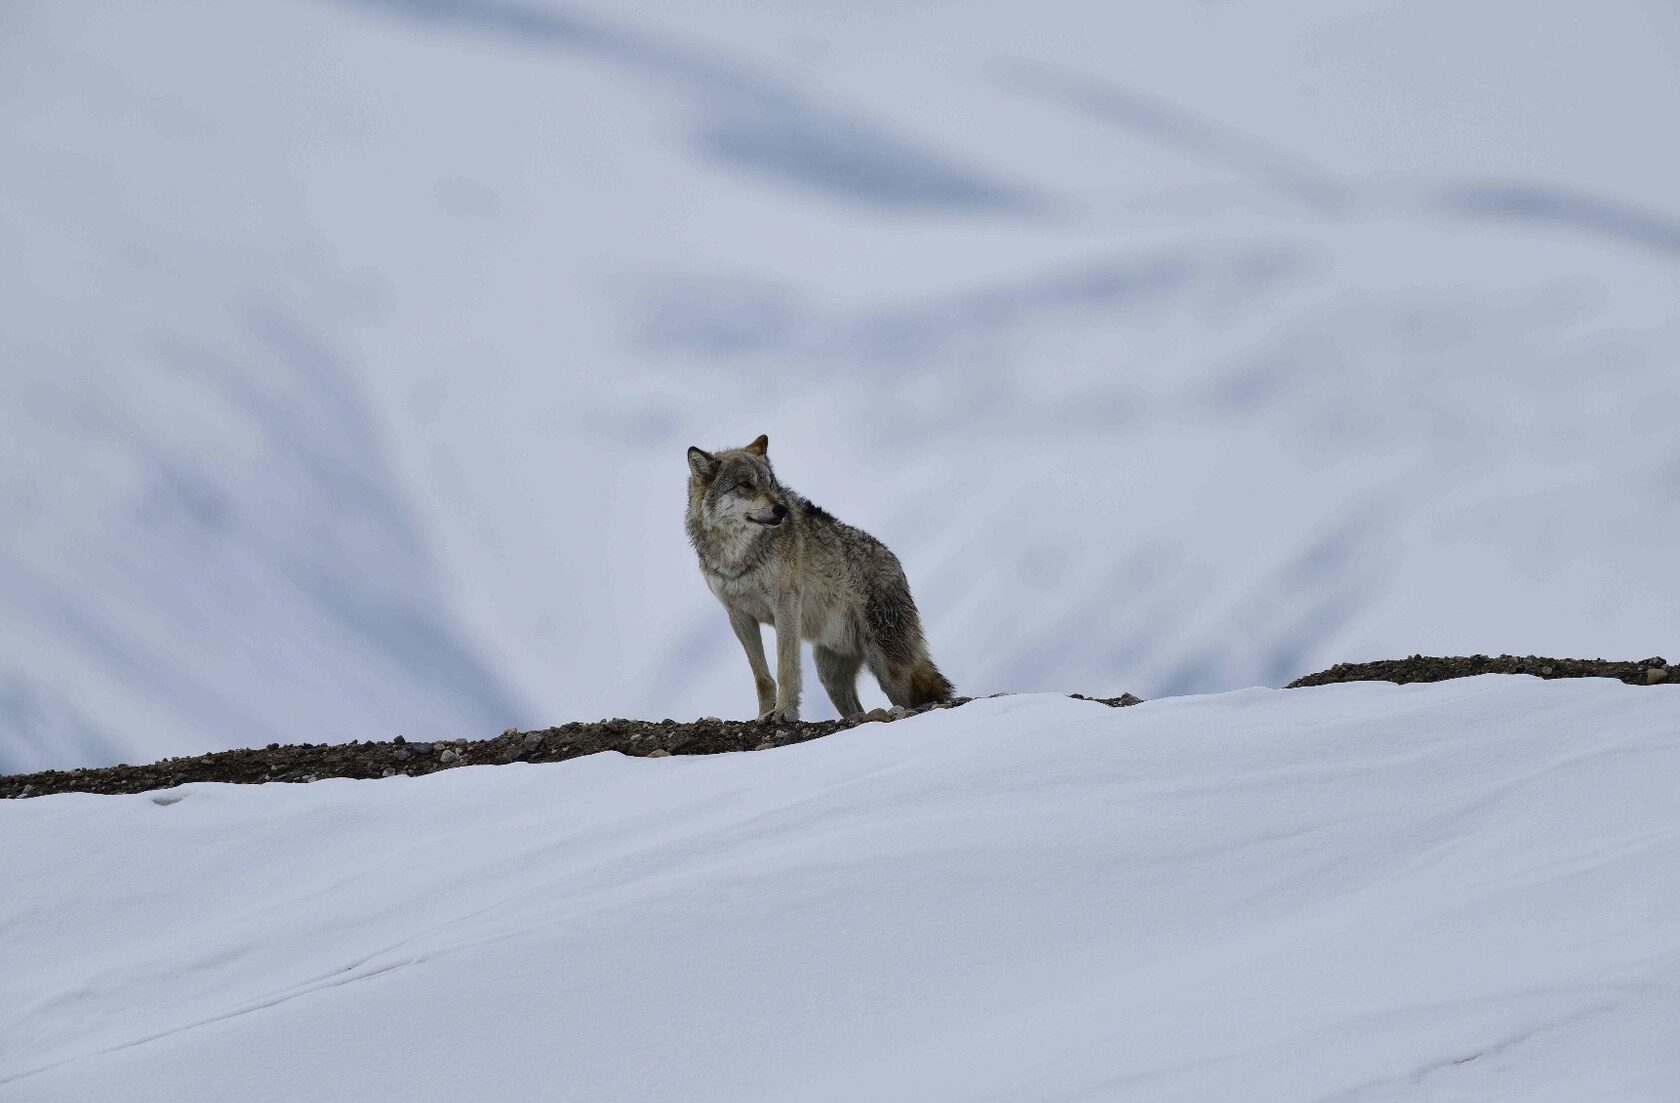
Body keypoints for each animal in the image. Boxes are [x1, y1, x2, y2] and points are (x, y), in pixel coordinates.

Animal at [685, 435, 954, 721]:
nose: (781, 510)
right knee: (857, 708)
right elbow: (762, 676)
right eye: (746, 485)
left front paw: (784, 713)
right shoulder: (738, 614)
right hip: (830, 677)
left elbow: (785, 667)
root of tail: (897, 566)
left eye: (770, 483)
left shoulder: (785, 603)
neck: (737, 556)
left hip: (888, 669)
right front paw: (762, 715)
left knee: (917, 698)